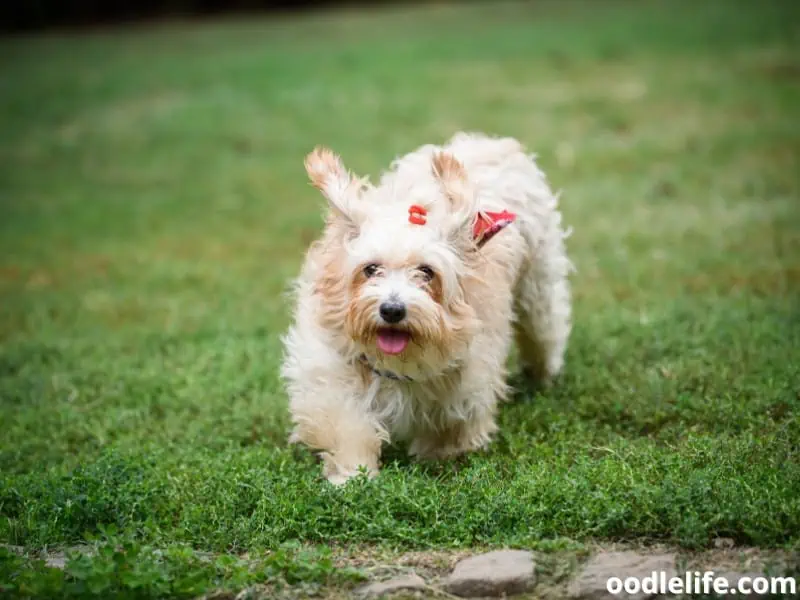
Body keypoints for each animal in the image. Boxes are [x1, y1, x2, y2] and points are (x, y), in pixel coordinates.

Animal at [278, 131, 572, 482]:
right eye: (371, 269)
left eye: (427, 272)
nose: (392, 310)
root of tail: (493, 142)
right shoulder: (332, 366)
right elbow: (345, 421)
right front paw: (353, 474)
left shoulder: (468, 374)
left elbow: (452, 422)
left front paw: (440, 455)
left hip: (537, 288)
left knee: (545, 331)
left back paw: (542, 375)